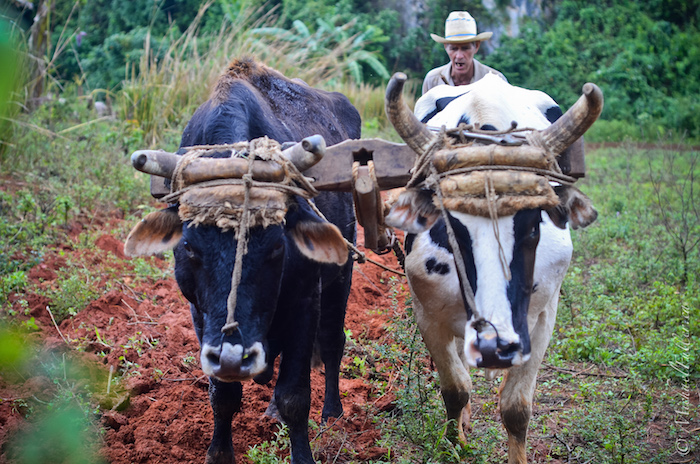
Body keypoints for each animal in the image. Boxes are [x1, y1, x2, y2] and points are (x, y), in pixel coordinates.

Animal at [124, 58, 361, 464]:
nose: (234, 358)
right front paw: (219, 453)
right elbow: (223, 395)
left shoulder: (305, 301)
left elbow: (295, 395)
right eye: (190, 248)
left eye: (277, 247)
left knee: (332, 341)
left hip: (341, 277)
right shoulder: (200, 313)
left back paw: (332, 412)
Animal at [383, 72, 602, 464]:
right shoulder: (428, 314)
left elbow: (516, 407)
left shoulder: (543, 317)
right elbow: (456, 388)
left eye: (533, 226)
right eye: (452, 228)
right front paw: (455, 442)